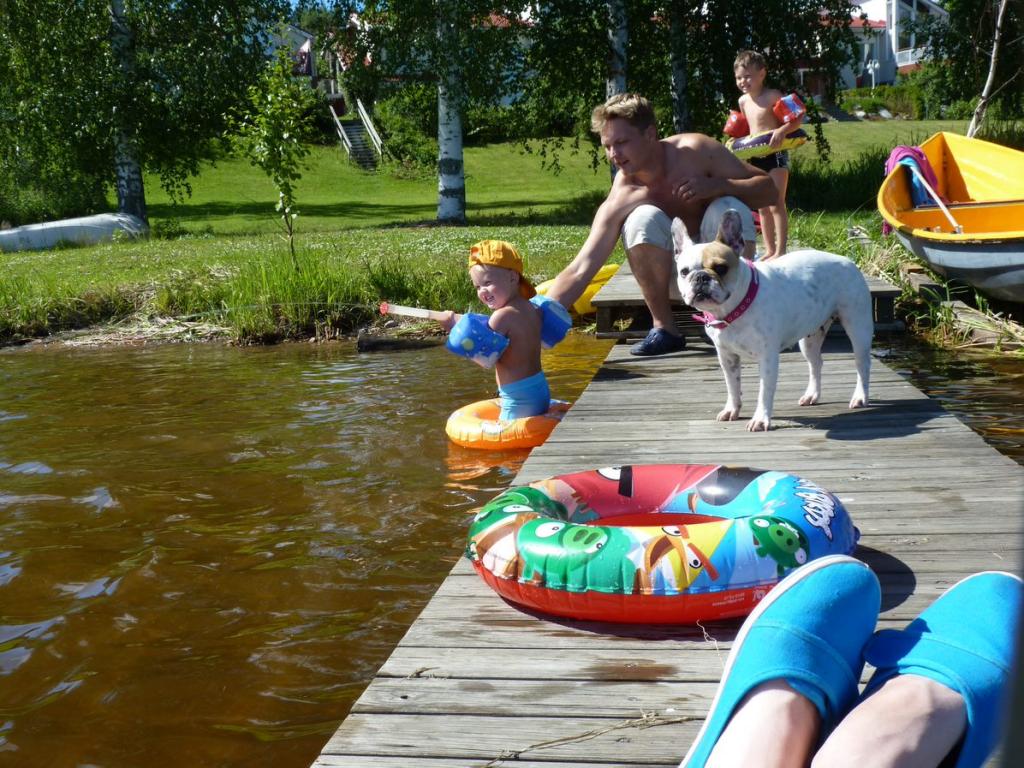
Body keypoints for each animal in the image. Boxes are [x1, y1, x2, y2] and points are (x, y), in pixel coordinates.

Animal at [671, 208, 872, 434]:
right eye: (684, 272)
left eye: (721, 268)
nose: (700, 277)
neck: (732, 309)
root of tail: (847, 260)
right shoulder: (727, 357)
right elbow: (732, 386)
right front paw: (732, 410)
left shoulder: (767, 358)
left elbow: (764, 391)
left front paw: (760, 419)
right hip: (809, 338)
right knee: (816, 363)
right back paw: (812, 395)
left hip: (858, 326)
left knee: (862, 363)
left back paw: (860, 397)